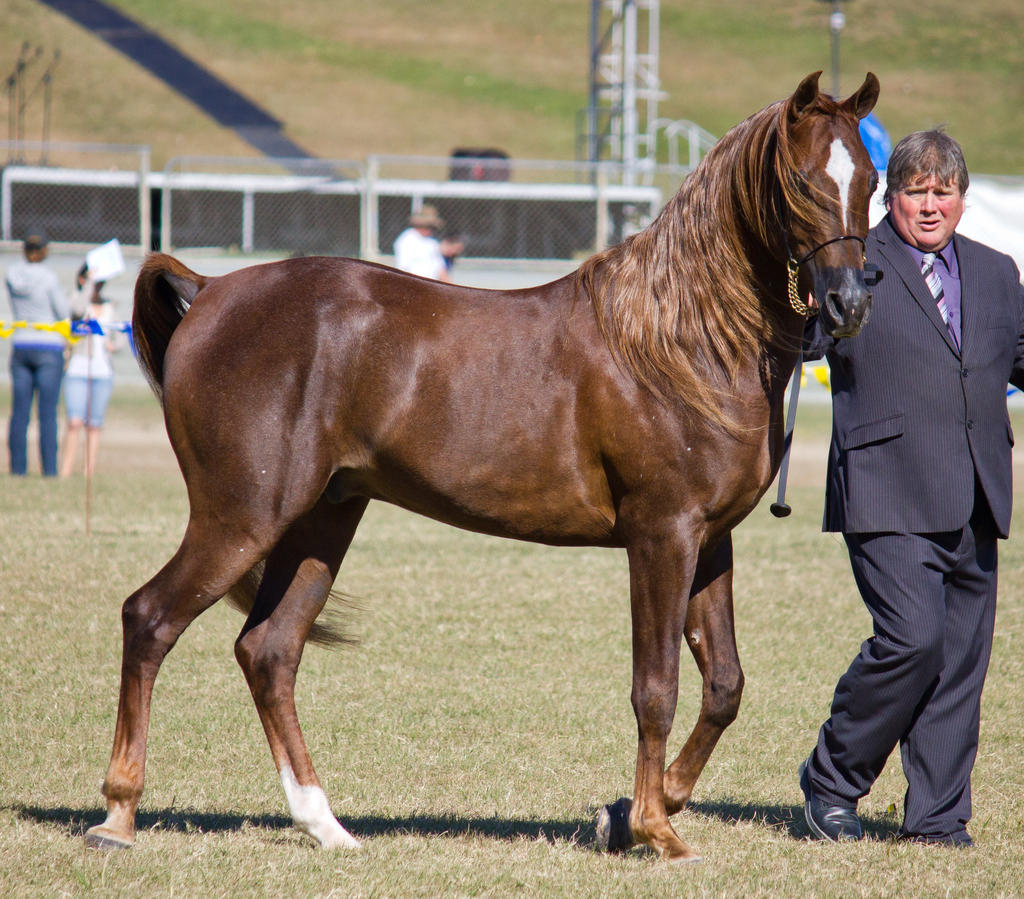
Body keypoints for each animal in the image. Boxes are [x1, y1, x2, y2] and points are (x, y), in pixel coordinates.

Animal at [83, 72, 876, 864]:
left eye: (868, 181)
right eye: (802, 181)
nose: (849, 303)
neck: (679, 343)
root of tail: (210, 291)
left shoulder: (710, 540)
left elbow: (724, 685)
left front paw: (647, 808)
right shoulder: (662, 536)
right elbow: (656, 687)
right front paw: (655, 826)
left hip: (320, 521)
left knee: (268, 650)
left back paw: (324, 823)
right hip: (240, 517)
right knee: (149, 619)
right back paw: (118, 814)